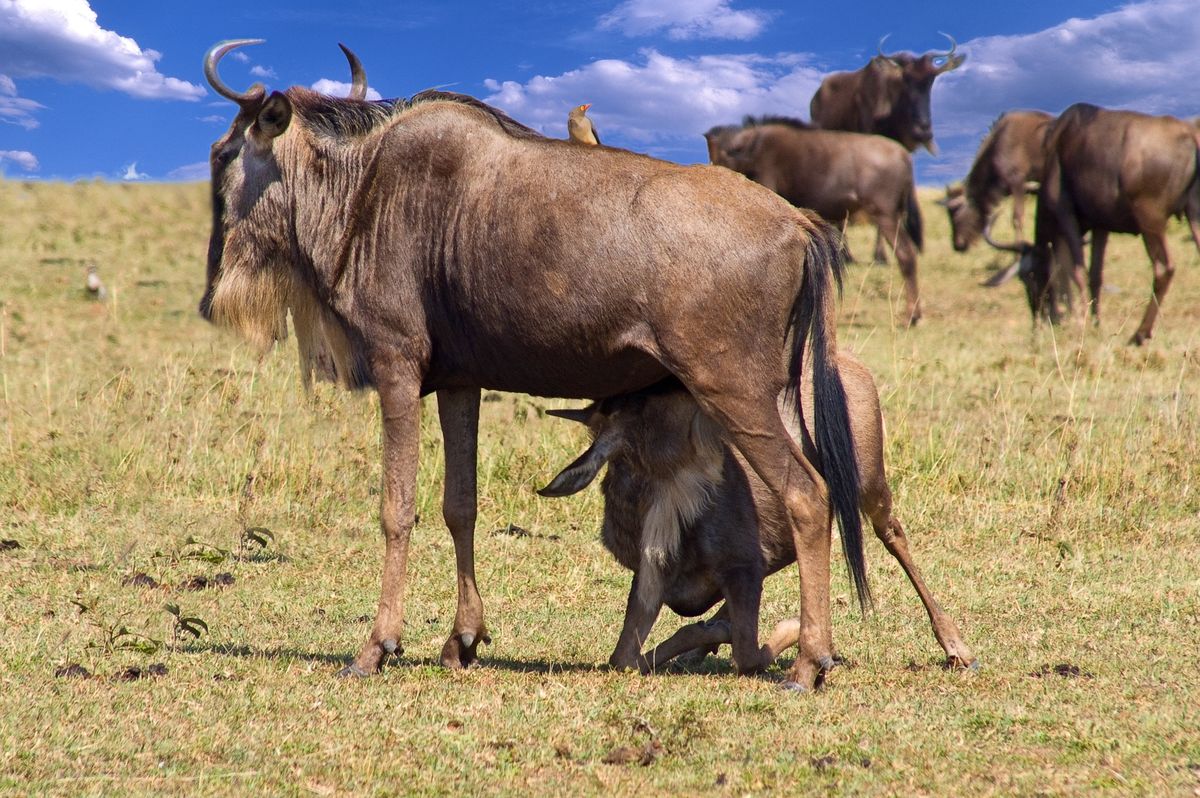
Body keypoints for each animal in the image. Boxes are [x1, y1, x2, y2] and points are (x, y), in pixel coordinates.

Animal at [201, 39, 868, 692]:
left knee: (808, 495)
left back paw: (809, 664)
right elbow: (459, 505)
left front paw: (376, 648)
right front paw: (463, 640)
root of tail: (796, 222)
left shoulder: (398, 367)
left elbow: (396, 509)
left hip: (734, 392)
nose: (212, 291)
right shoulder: (459, 384)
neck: (363, 193)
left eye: (221, 154)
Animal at [538, 355, 976, 676]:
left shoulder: (743, 565)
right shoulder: (659, 581)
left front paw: (796, 634)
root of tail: (851, 365)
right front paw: (708, 635)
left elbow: (748, 654)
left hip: (870, 481)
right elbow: (625, 658)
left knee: (892, 533)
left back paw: (957, 648)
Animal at [985, 103, 1200, 344]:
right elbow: (1095, 276)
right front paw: (1096, 325)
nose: (1039, 319)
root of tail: (1191, 135)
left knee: (1163, 268)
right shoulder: (1100, 226)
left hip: (1151, 223)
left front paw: (1082, 324)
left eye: (1027, 276)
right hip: (1194, 215)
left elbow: (1076, 270)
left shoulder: (1066, 217)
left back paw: (1139, 334)